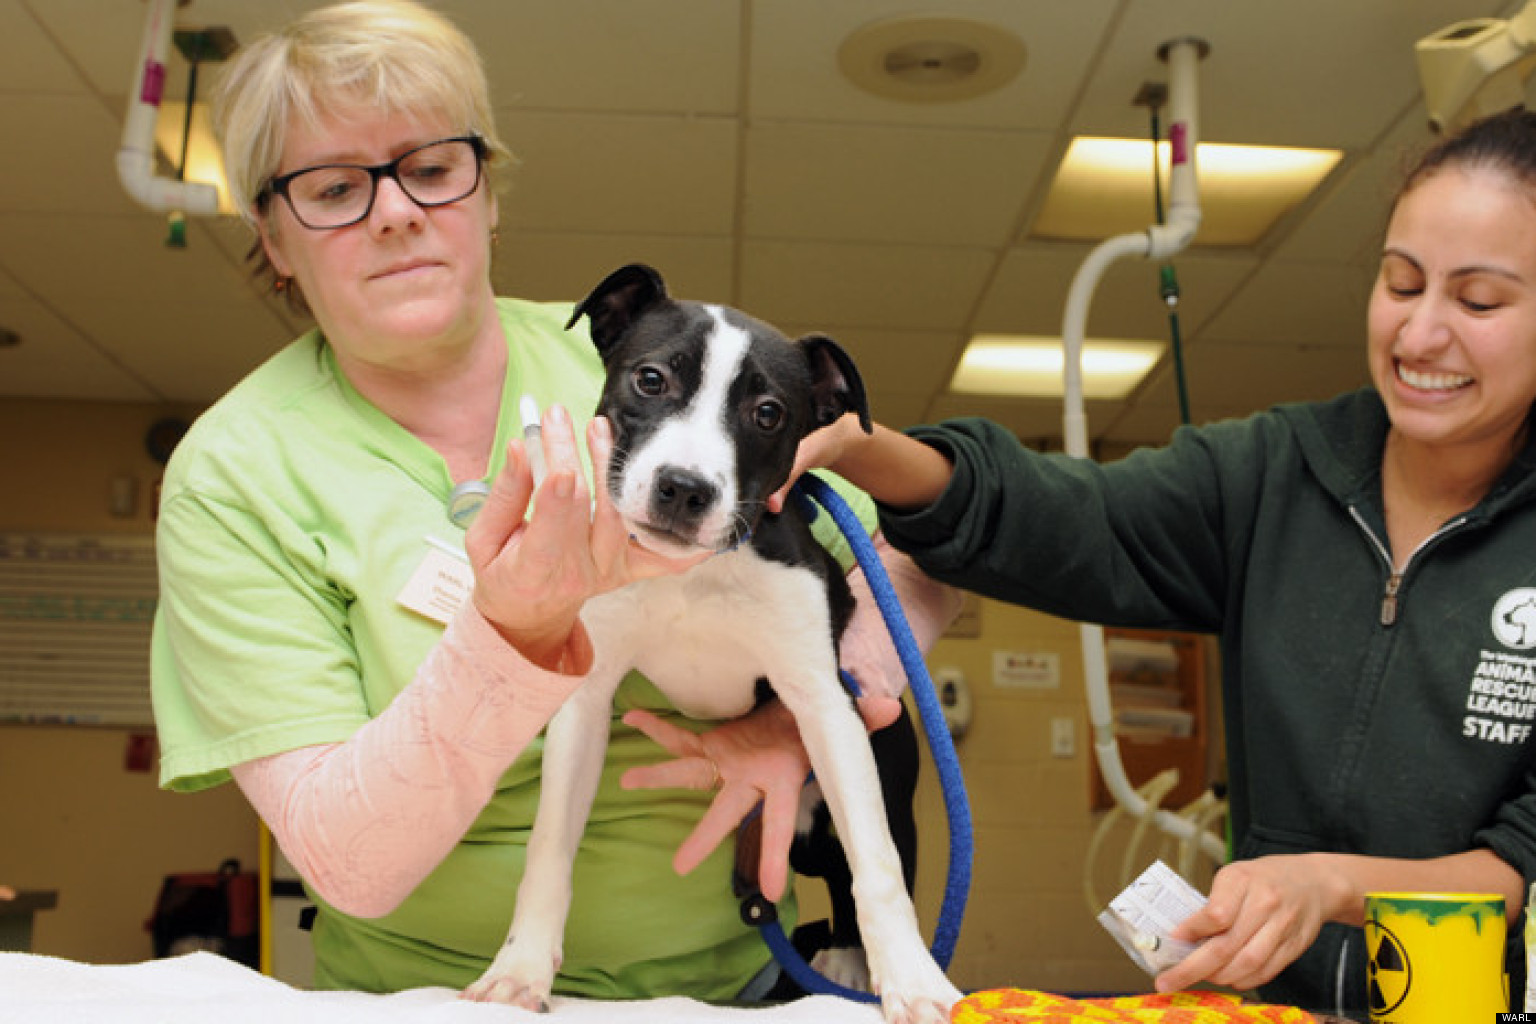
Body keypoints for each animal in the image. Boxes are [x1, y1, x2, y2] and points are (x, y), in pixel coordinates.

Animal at [460, 267, 952, 1024]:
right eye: (651, 378)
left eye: (769, 413)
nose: (684, 489)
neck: (693, 571)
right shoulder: (585, 702)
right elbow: (548, 850)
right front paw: (519, 971)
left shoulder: (828, 707)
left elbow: (877, 866)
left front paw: (917, 983)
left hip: (883, 777)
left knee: (861, 862)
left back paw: (848, 960)